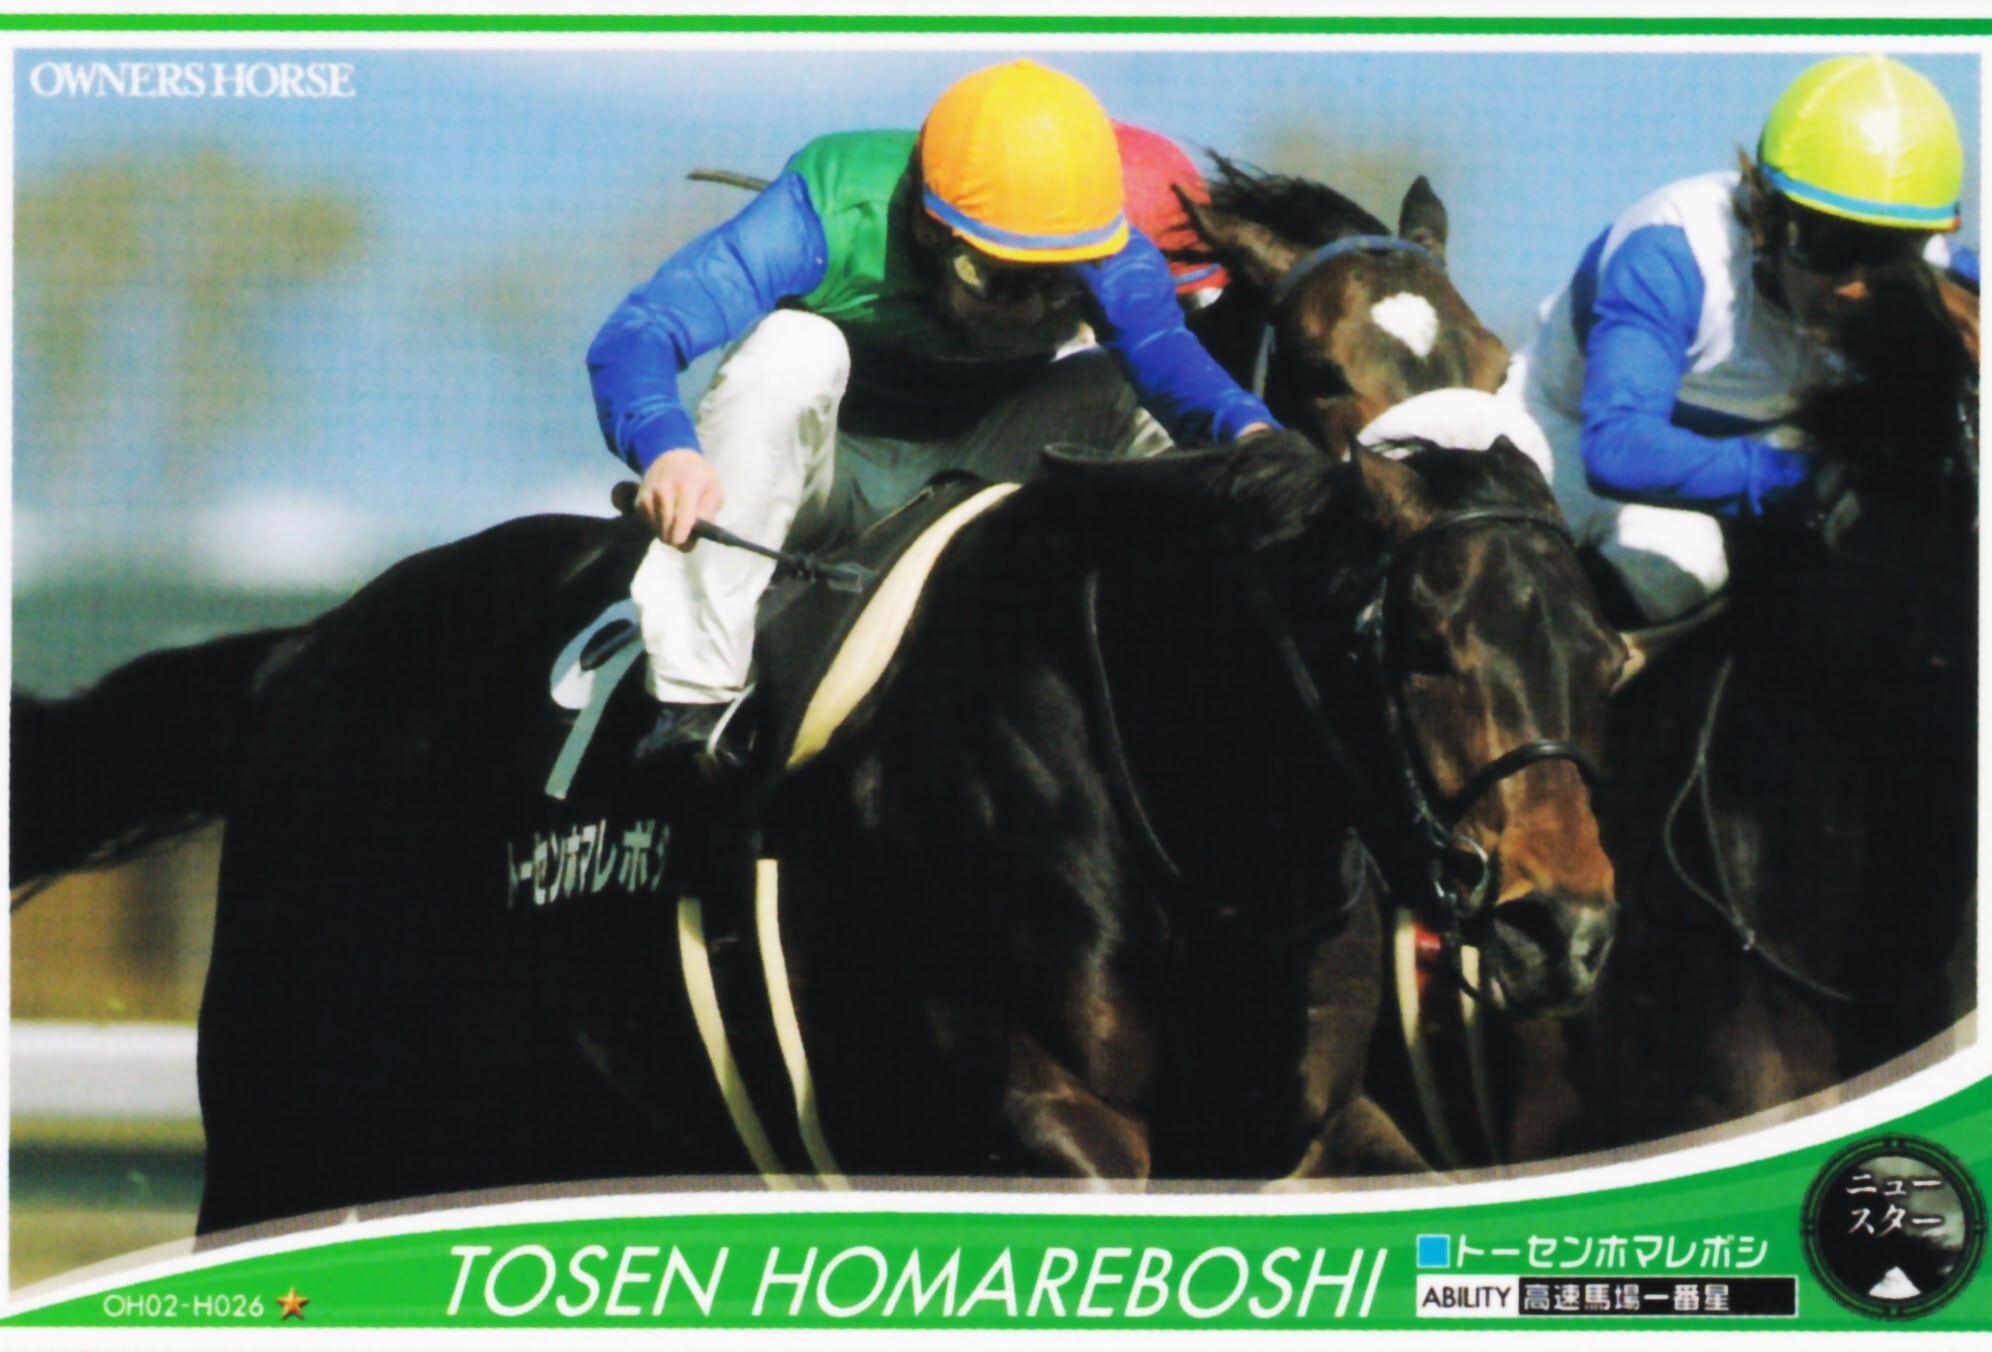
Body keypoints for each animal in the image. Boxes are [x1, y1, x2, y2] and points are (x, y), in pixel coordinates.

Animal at [13, 427, 1625, 1235]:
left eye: (1601, 653)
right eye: (1424, 645)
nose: (1564, 925)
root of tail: (300, 658)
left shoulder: (1302, 1126)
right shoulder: (1007, 1113)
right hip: (294, 1125)